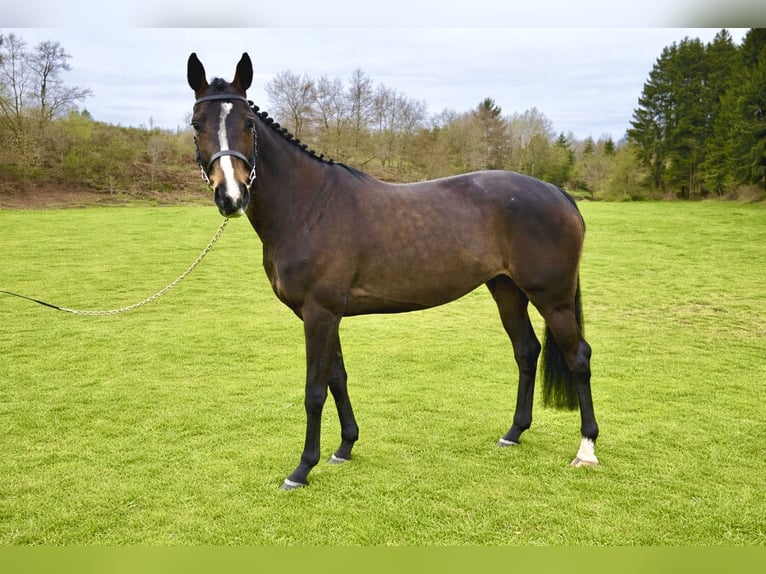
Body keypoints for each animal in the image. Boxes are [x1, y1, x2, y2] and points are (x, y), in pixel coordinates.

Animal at [187, 52, 599, 490]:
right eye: (197, 124)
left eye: (248, 123)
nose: (231, 196)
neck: (309, 206)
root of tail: (558, 193)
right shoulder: (325, 314)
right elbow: (337, 378)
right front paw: (344, 448)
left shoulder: (319, 312)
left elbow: (315, 390)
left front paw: (302, 469)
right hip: (506, 290)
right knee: (526, 351)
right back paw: (513, 433)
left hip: (552, 298)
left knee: (578, 356)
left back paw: (586, 449)